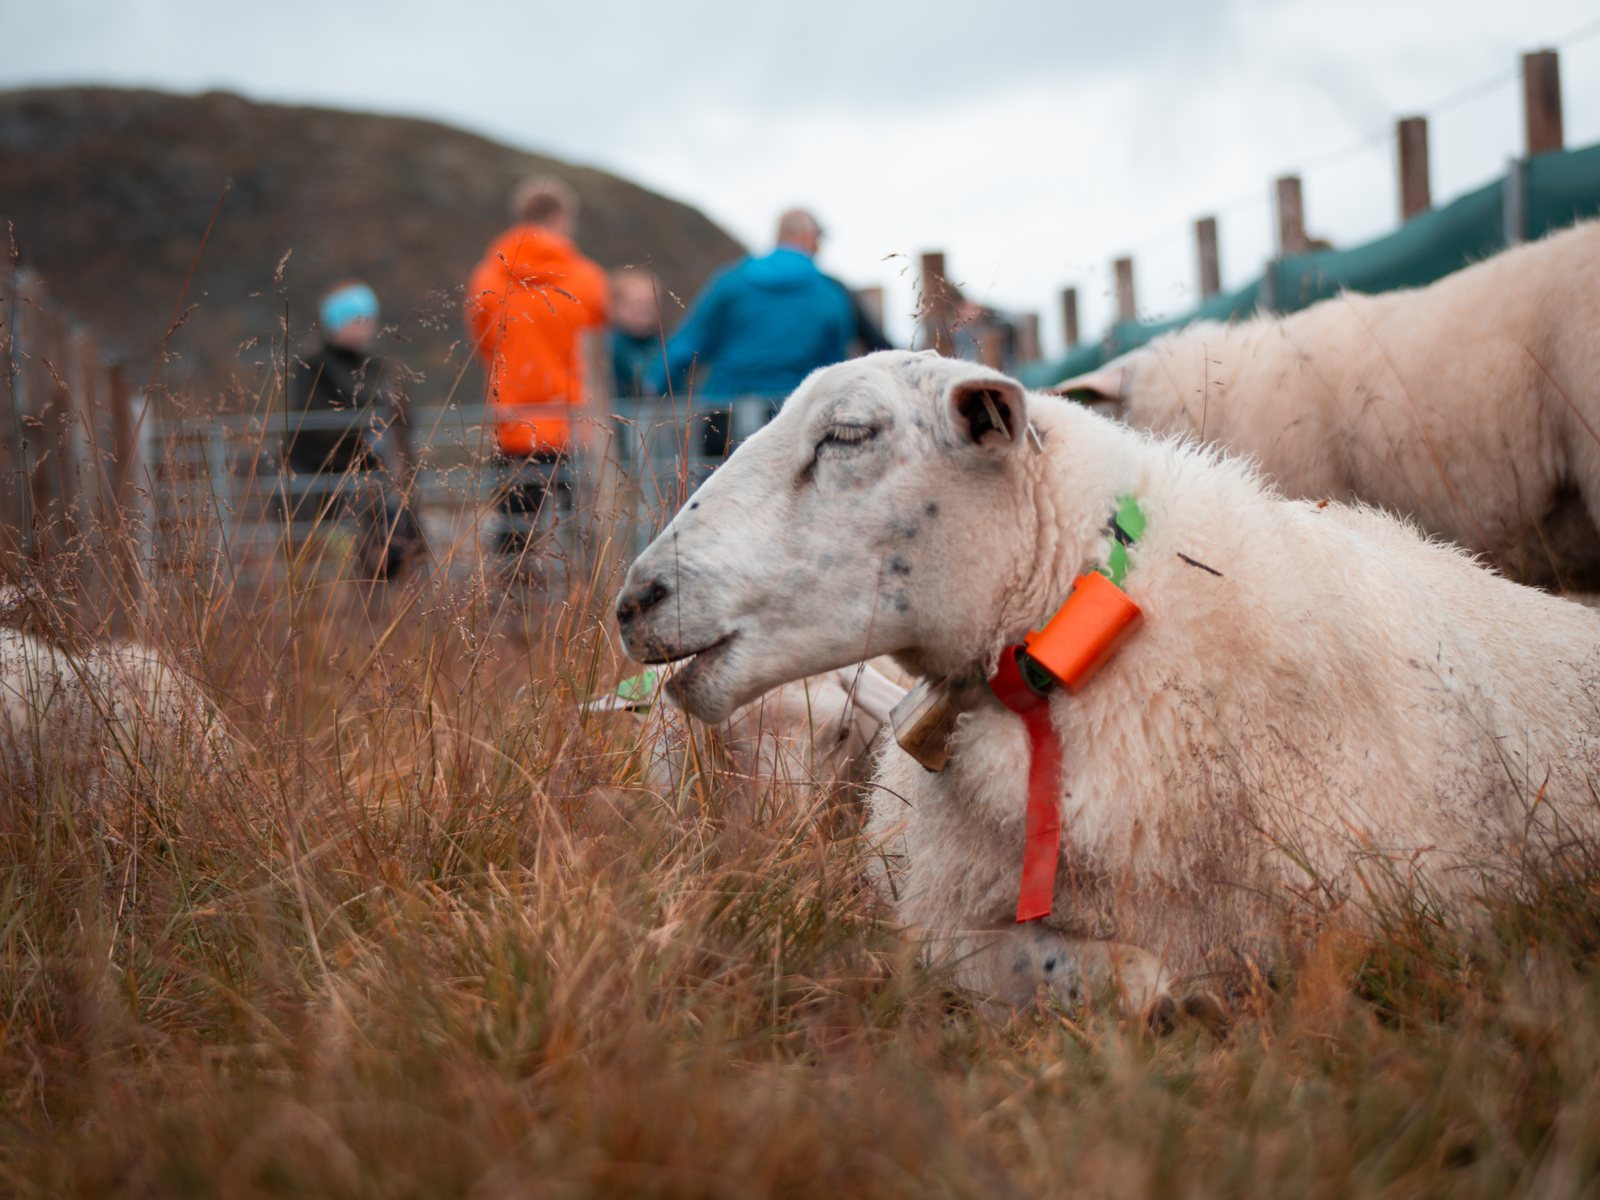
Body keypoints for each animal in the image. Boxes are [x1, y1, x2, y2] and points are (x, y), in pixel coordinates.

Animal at [614, 349, 1600, 1018]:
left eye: (848, 433)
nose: (633, 601)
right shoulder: (933, 921)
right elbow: (1086, 969)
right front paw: (1173, 992)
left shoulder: (1426, 924)